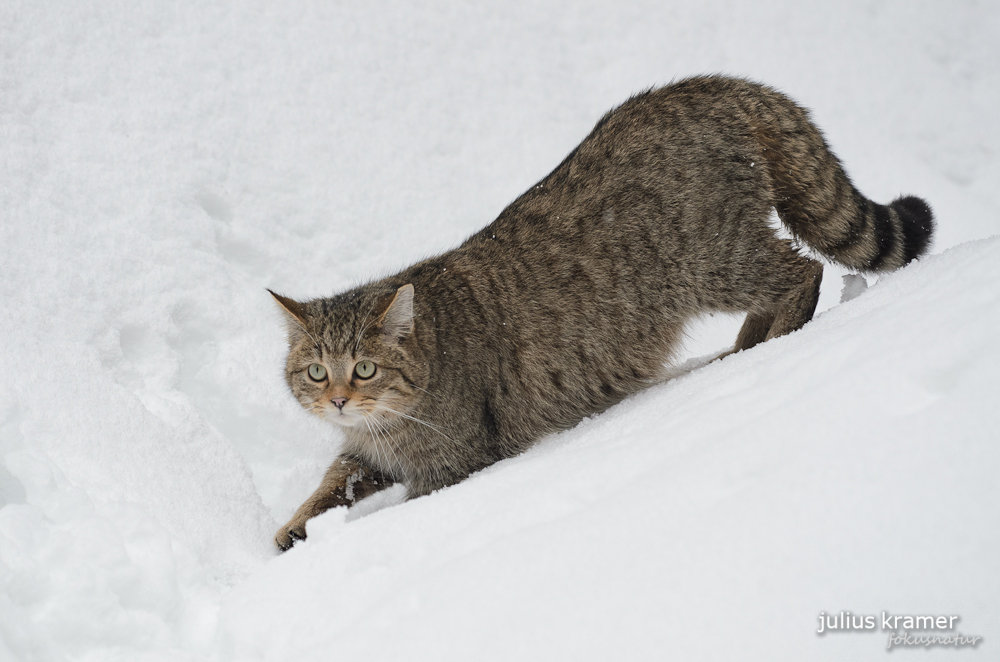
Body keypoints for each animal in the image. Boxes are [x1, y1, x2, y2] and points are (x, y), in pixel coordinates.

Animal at [268, 72, 928, 552]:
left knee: (802, 271)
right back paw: (745, 346)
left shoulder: (454, 462)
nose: (339, 401)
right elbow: (329, 484)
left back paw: (775, 341)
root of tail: (709, 86)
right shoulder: (365, 454)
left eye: (366, 368)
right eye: (317, 372)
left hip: (713, 259)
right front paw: (296, 524)